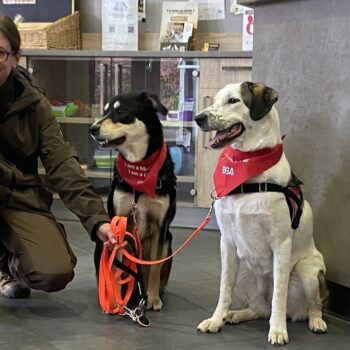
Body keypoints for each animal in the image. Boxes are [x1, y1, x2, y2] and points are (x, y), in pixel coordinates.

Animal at [89, 91, 175, 310]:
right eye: (105, 111)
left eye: (120, 111)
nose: (92, 129)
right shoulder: (119, 221)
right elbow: (117, 268)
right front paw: (118, 300)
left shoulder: (161, 226)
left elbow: (154, 268)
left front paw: (153, 298)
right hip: (102, 242)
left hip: (168, 241)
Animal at [196, 82, 326, 348]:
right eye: (214, 100)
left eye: (233, 100)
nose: (198, 118)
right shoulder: (227, 243)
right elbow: (224, 288)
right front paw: (216, 320)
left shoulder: (281, 243)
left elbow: (279, 295)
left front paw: (277, 331)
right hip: (245, 268)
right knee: (260, 307)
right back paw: (236, 314)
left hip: (308, 271)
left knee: (311, 305)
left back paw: (316, 321)